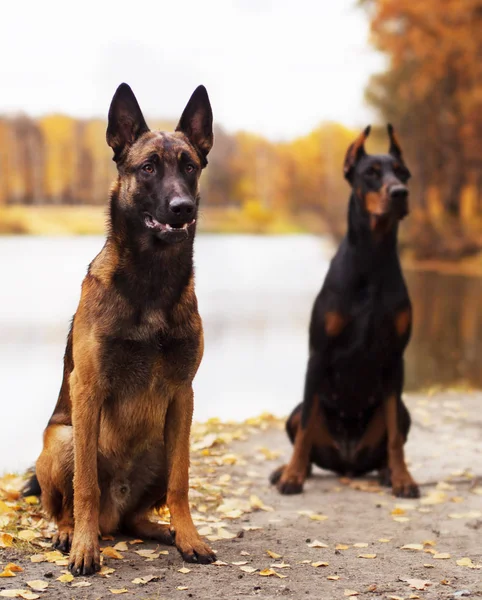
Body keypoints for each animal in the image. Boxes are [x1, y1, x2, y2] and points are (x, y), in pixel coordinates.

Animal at [26, 82, 215, 576]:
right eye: (148, 168)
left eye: (189, 166)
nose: (181, 208)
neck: (151, 280)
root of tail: (116, 514)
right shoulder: (88, 389)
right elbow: (87, 486)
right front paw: (84, 548)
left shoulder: (183, 394)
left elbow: (182, 483)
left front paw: (189, 537)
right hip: (63, 439)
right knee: (66, 503)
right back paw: (71, 532)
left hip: (163, 442)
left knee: (138, 515)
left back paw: (162, 531)